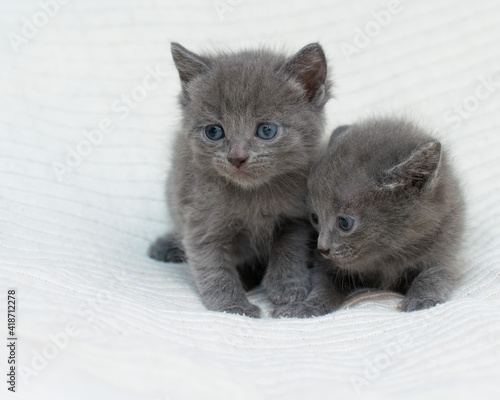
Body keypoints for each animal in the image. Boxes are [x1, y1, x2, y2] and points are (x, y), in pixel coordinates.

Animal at [150, 42, 334, 318]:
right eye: (214, 131)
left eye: (266, 130)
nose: (237, 157)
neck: (252, 196)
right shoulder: (201, 218)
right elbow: (212, 265)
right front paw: (232, 306)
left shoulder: (297, 217)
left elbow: (289, 248)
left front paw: (287, 287)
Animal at [274, 117, 464, 318]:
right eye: (315, 218)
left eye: (345, 223)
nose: (322, 248)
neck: (387, 258)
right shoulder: (326, 265)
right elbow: (323, 285)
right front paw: (307, 306)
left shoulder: (444, 246)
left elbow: (435, 274)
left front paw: (421, 300)